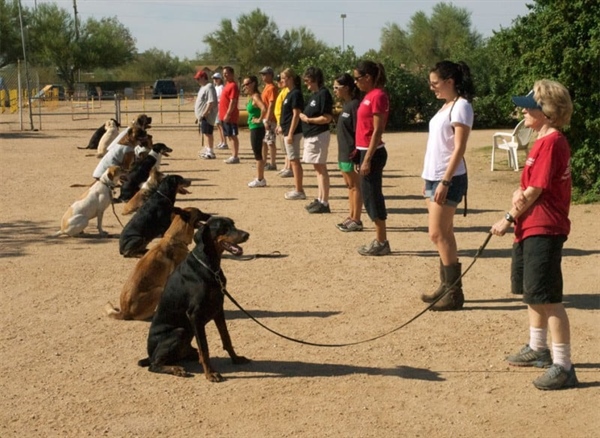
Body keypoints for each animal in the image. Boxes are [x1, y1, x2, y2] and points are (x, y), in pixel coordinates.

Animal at [139, 217, 250, 382]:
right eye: (223, 228)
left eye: (233, 224)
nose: (246, 235)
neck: (209, 266)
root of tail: (149, 353)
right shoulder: (194, 315)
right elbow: (204, 348)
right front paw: (210, 373)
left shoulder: (218, 308)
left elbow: (226, 338)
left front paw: (236, 359)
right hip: (180, 331)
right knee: (154, 365)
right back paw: (176, 369)